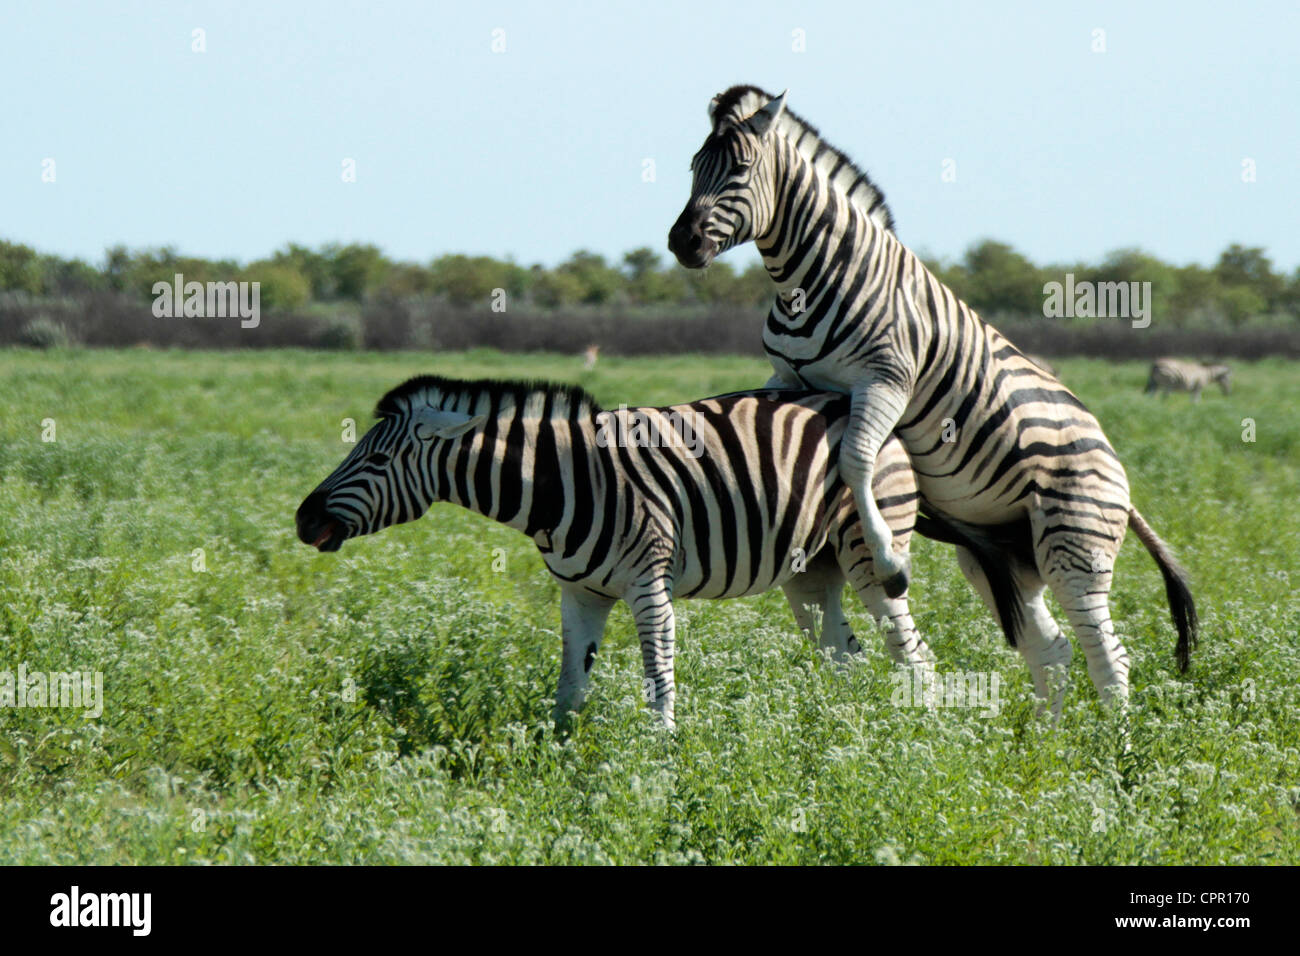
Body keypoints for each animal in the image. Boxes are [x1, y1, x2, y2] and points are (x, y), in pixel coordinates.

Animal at [296, 375, 937, 730]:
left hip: (870, 552)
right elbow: (570, 689)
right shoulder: (579, 594)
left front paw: (661, 764)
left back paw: (921, 741)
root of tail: (862, 407)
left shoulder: (648, 585)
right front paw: (558, 762)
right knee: (845, 656)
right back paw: (835, 732)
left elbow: (659, 681)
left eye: (378, 459)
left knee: (914, 656)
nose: (303, 520)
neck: (560, 484)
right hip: (811, 570)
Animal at [668, 85, 1198, 707]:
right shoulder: (790, 380)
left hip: (1074, 542)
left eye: (741, 170)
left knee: (1110, 658)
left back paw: (1108, 737)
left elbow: (856, 460)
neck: (808, 280)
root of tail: (1118, 471)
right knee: (1054, 650)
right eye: (693, 168)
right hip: (1004, 555)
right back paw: (1052, 735)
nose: (681, 242)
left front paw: (890, 561)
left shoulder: (886, 381)